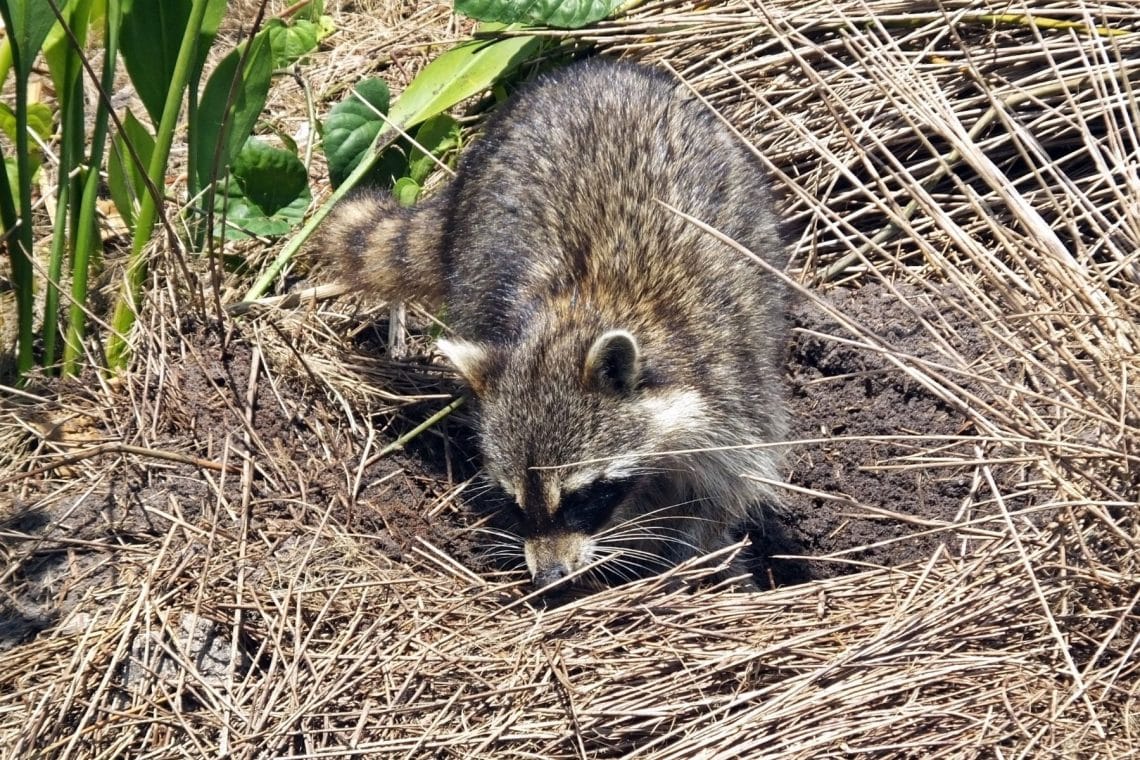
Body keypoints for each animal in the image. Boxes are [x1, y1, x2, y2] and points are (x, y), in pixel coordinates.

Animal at [326, 59, 788, 592]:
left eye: (580, 497)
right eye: (515, 501)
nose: (548, 577)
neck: (587, 307)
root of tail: (586, 70)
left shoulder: (731, 378)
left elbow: (722, 491)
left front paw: (686, 557)